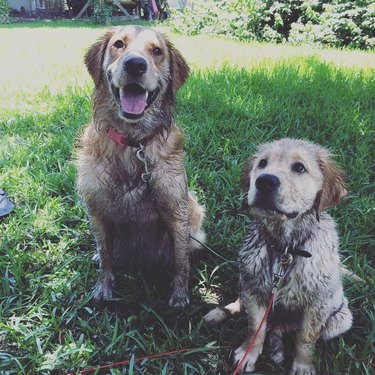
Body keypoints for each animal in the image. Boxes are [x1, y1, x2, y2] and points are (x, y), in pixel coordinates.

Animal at [77, 25, 206, 308]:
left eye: (156, 51)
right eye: (118, 44)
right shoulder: (95, 208)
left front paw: (180, 296)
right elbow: (105, 253)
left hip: (194, 205)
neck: (133, 142)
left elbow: (181, 260)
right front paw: (104, 286)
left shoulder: (175, 207)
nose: (135, 64)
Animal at [204, 140, 354, 374]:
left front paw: (303, 365)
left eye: (300, 168)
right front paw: (248, 354)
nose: (265, 181)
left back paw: (276, 349)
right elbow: (255, 327)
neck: (286, 248)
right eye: (262, 163)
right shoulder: (255, 289)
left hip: (340, 319)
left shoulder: (317, 303)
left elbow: (306, 337)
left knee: (282, 328)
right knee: (244, 306)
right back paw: (220, 314)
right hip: (246, 280)